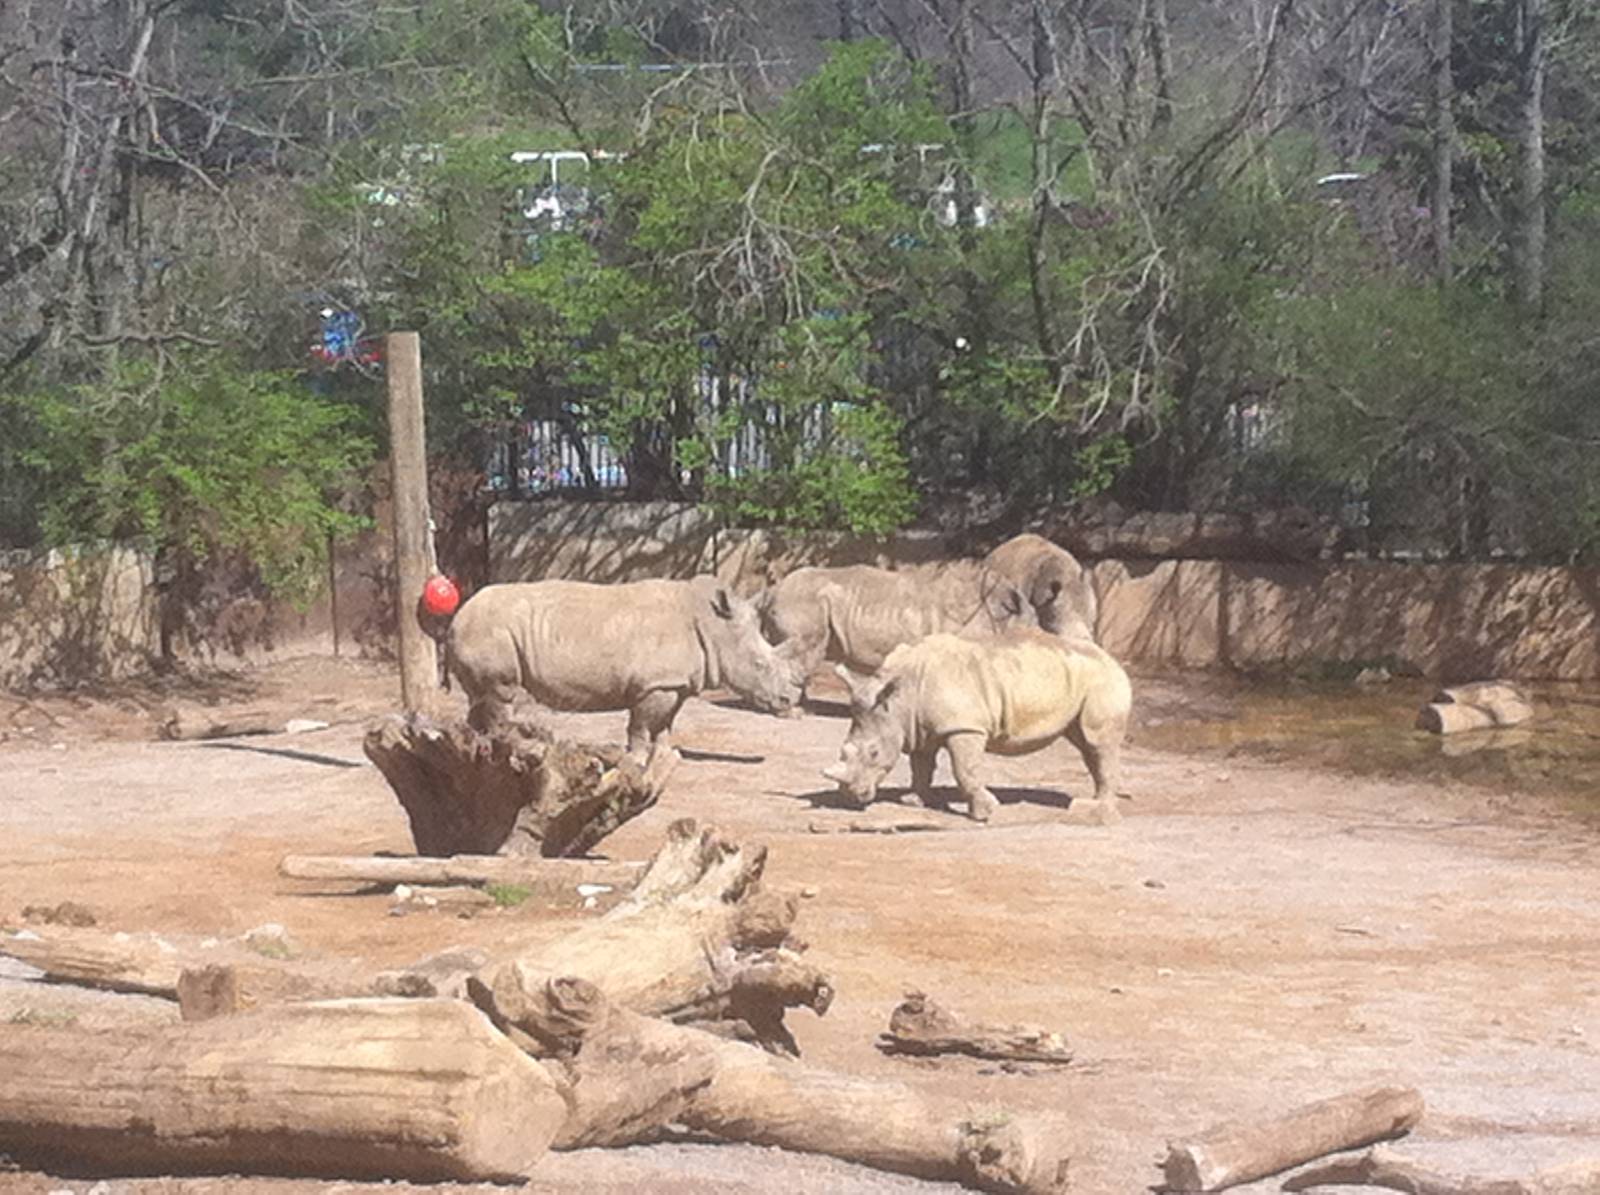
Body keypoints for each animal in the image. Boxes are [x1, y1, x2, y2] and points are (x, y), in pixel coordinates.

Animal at [446, 577, 803, 755]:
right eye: (759, 665)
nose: (789, 701)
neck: (715, 626)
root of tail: (459, 614)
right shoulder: (654, 685)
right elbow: (641, 727)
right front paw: (637, 760)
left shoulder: (674, 684)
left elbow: (665, 726)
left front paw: (665, 757)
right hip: (490, 630)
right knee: (500, 694)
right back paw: (508, 746)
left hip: (483, 629)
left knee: (479, 697)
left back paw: (474, 747)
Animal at [821, 627, 1132, 824]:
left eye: (873, 753)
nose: (851, 796)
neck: (900, 698)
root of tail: (1112, 659)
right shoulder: (919, 727)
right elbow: (921, 766)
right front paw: (914, 801)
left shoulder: (965, 727)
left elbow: (964, 770)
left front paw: (985, 812)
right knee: (1086, 744)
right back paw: (1092, 804)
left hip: (1103, 680)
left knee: (1097, 742)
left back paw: (1096, 810)